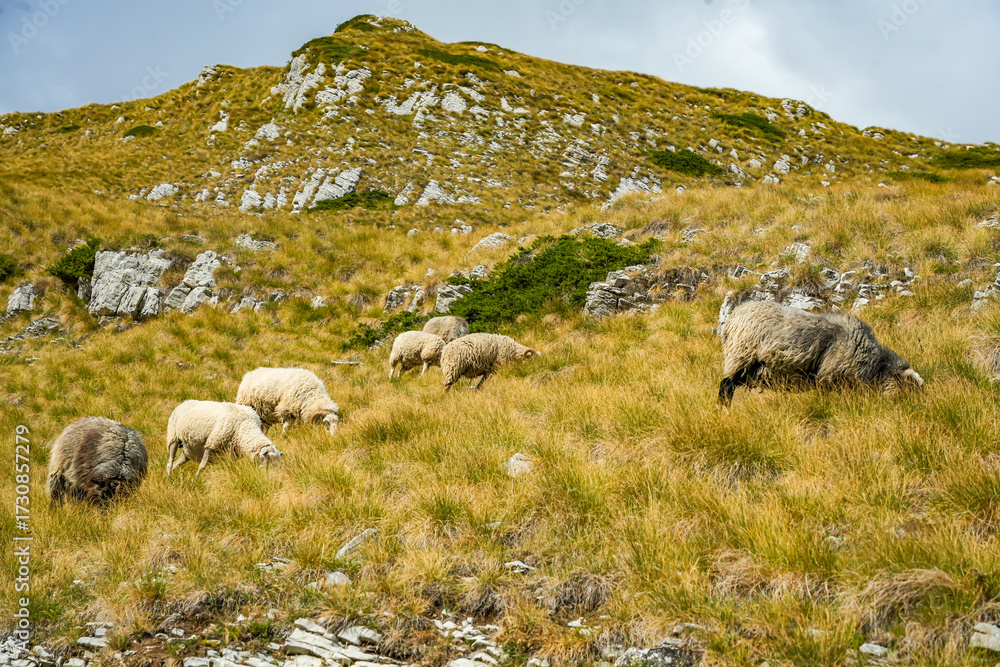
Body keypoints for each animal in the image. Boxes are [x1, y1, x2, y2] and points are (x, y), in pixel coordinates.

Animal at [719, 300, 924, 405]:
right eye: (909, 387)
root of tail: (733, 317)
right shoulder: (829, 377)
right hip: (741, 356)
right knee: (726, 386)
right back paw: (724, 409)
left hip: (752, 369)